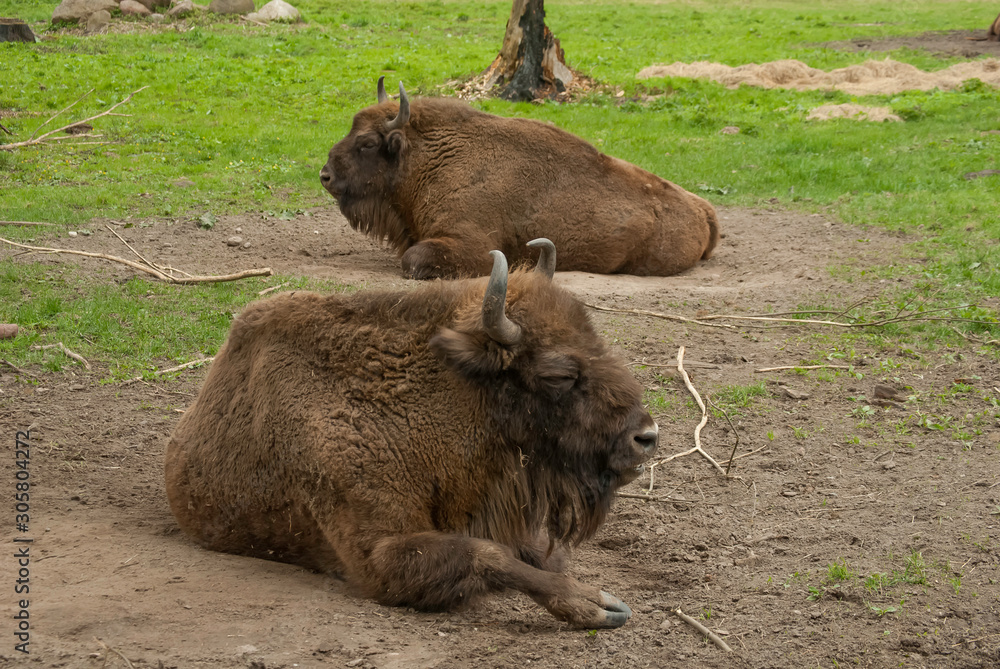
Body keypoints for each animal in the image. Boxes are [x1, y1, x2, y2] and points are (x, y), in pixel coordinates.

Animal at [165, 239, 659, 628]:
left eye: (597, 341)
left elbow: (534, 553)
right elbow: (488, 555)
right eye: (559, 374)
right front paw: (597, 604)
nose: (646, 437)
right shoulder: (381, 557)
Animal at [320, 78, 719, 280]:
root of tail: (703, 209)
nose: (325, 175)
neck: (429, 157)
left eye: (368, 142)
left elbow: (413, 260)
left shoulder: (471, 243)